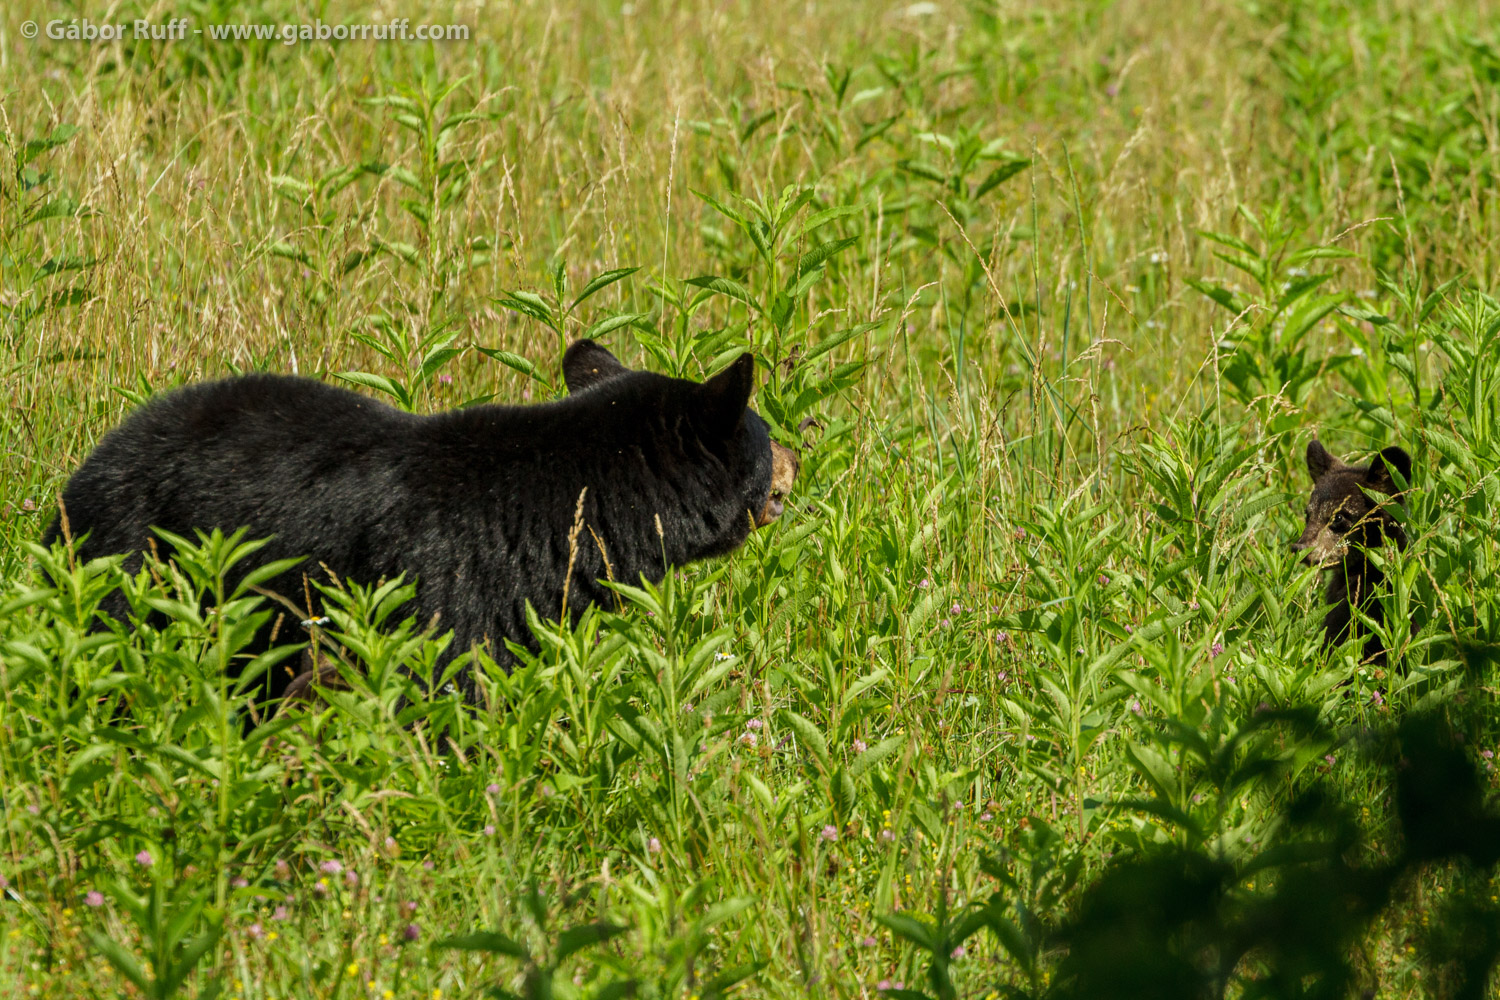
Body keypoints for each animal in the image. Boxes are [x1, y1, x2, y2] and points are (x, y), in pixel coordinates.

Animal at [43, 339, 799, 703]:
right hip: (129, 562)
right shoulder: (446, 584)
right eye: (763, 433)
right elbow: (438, 695)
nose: (798, 456)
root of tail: (79, 476)